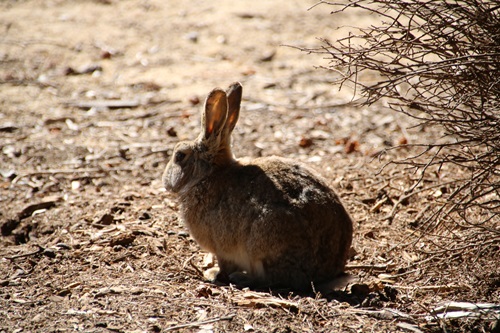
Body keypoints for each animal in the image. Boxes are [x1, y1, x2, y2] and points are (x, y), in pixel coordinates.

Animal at [162, 81, 354, 290]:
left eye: (179, 156)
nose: (166, 182)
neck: (208, 175)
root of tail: (326, 274)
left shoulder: (222, 248)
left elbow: (224, 265)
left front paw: (213, 274)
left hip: (262, 245)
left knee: (271, 278)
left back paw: (243, 278)